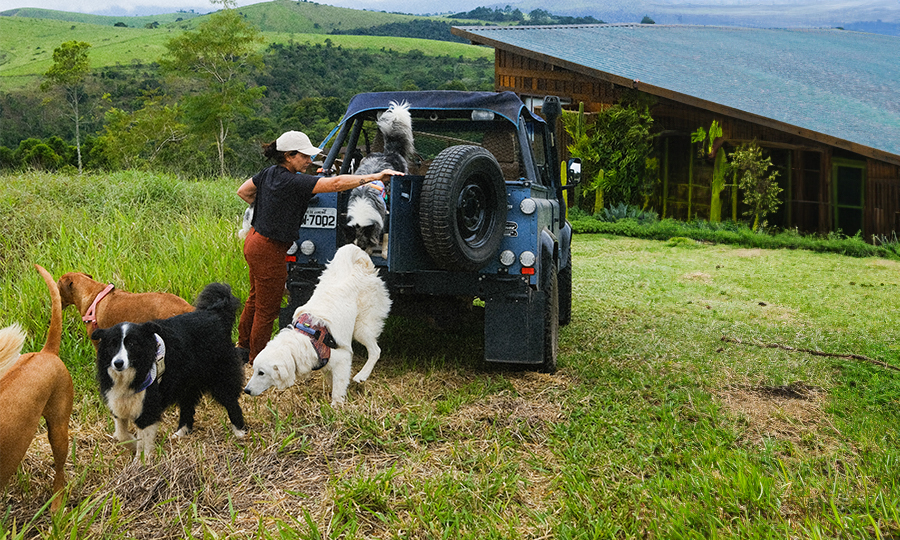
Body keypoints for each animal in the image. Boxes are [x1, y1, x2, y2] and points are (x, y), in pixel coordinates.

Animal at [93, 282, 246, 460]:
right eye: (113, 344)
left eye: (132, 344)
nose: (118, 363)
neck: (130, 373)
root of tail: (215, 315)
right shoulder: (119, 398)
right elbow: (121, 433)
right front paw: (131, 444)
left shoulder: (148, 400)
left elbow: (144, 435)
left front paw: (141, 461)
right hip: (187, 380)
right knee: (187, 404)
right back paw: (181, 432)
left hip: (218, 373)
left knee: (230, 399)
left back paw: (240, 432)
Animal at [243, 245, 390, 404]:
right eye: (255, 370)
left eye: (261, 373)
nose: (246, 390)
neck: (308, 340)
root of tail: (361, 266)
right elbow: (333, 381)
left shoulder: (342, 358)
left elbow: (338, 388)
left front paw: (336, 405)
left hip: (361, 328)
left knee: (376, 351)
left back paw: (362, 375)